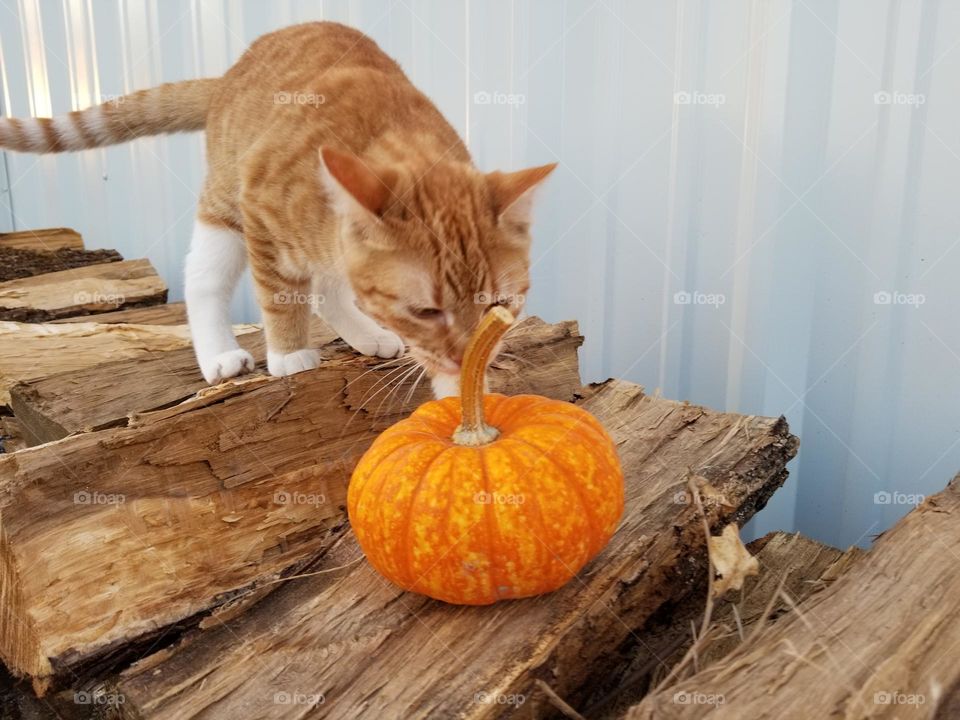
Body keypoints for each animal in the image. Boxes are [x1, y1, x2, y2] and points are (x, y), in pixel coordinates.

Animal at [0, 22, 556, 396]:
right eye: (424, 310)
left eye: (498, 305)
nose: (464, 356)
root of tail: (230, 72)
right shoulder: (262, 212)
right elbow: (281, 297)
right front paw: (288, 354)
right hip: (225, 210)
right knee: (205, 281)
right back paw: (220, 354)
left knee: (326, 292)